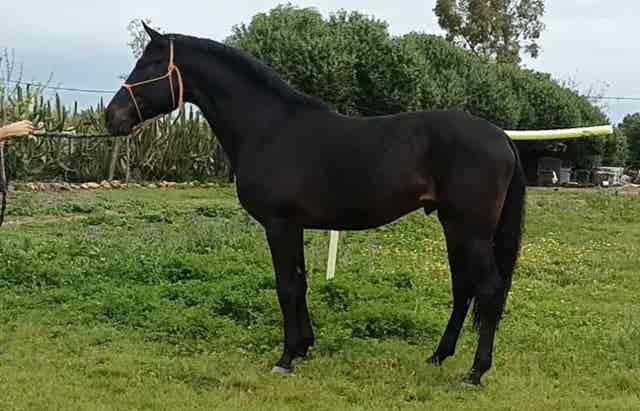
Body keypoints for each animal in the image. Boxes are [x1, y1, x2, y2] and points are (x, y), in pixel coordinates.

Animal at [106, 23, 526, 386]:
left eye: (149, 64)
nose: (112, 116)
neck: (269, 128)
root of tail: (501, 137)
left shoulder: (279, 225)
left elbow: (287, 287)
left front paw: (286, 358)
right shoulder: (293, 226)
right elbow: (301, 283)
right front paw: (305, 348)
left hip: (471, 230)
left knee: (489, 289)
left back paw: (475, 372)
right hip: (454, 226)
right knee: (463, 288)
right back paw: (439, 356)